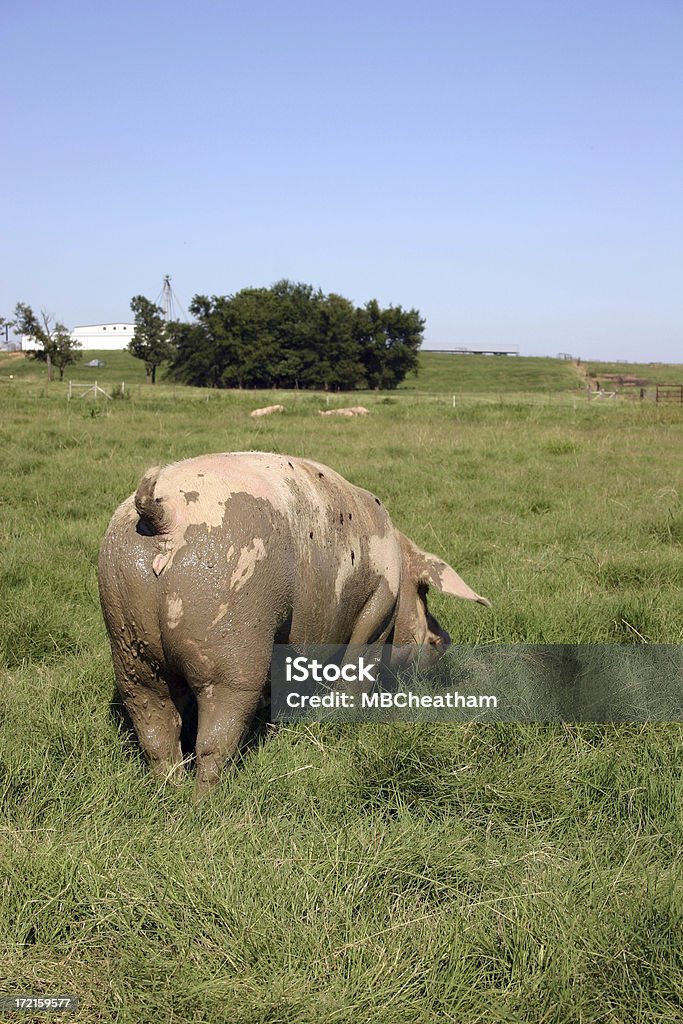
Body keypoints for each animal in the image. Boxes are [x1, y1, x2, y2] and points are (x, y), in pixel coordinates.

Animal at [98, 452, 489, 786]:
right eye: (424, 594)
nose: (445, 639)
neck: (399, 567)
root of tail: (160, 513)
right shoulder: (378, 607)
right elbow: (355, 672)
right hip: (232, 636)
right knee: (217, 729)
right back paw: (206, 800)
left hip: (126, 631)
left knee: (154, 723)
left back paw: (170, 790)